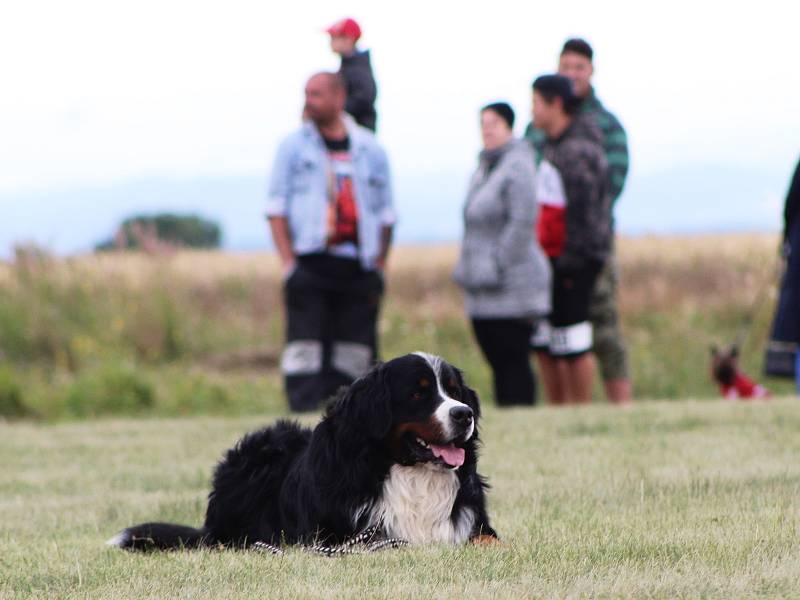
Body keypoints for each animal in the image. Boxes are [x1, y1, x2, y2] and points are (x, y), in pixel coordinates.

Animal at [106, 352, 494, 552]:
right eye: (418, 393)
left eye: (455, 391)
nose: (464, 414)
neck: (407, 471)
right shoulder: (347, 537)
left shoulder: (474, 528)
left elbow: (487, 541)